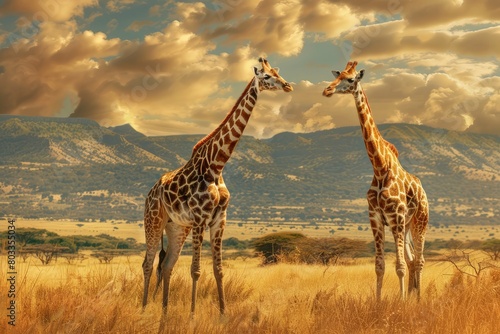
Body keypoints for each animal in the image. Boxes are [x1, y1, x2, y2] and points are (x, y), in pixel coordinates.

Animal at [142, 57, 292, 316]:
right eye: (266, 76)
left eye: (277, 72)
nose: (287, 85)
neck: (216, 165)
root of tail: (150, 193)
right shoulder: (200, 219)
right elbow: (196, 270)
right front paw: (192, 316)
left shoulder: (219, 219)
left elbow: (218, 270)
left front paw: (223, 315)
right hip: (153, 220)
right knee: (148, 264)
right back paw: (142, 309)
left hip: (177, 226)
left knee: (167, 264)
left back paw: (165, 312)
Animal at [322, 60, 428, 300]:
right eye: (336, 75)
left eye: (350, 79)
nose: (327, 90)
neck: (380, 167)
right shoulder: (376, 218)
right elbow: (380, 265)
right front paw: (379, 302)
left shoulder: (396, 216)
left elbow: (399, 265)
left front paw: (400, 302)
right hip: (406, 225)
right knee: (412, 259)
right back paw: (413, 298)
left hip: (420, 221)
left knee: (419, 260)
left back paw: (419, 300)